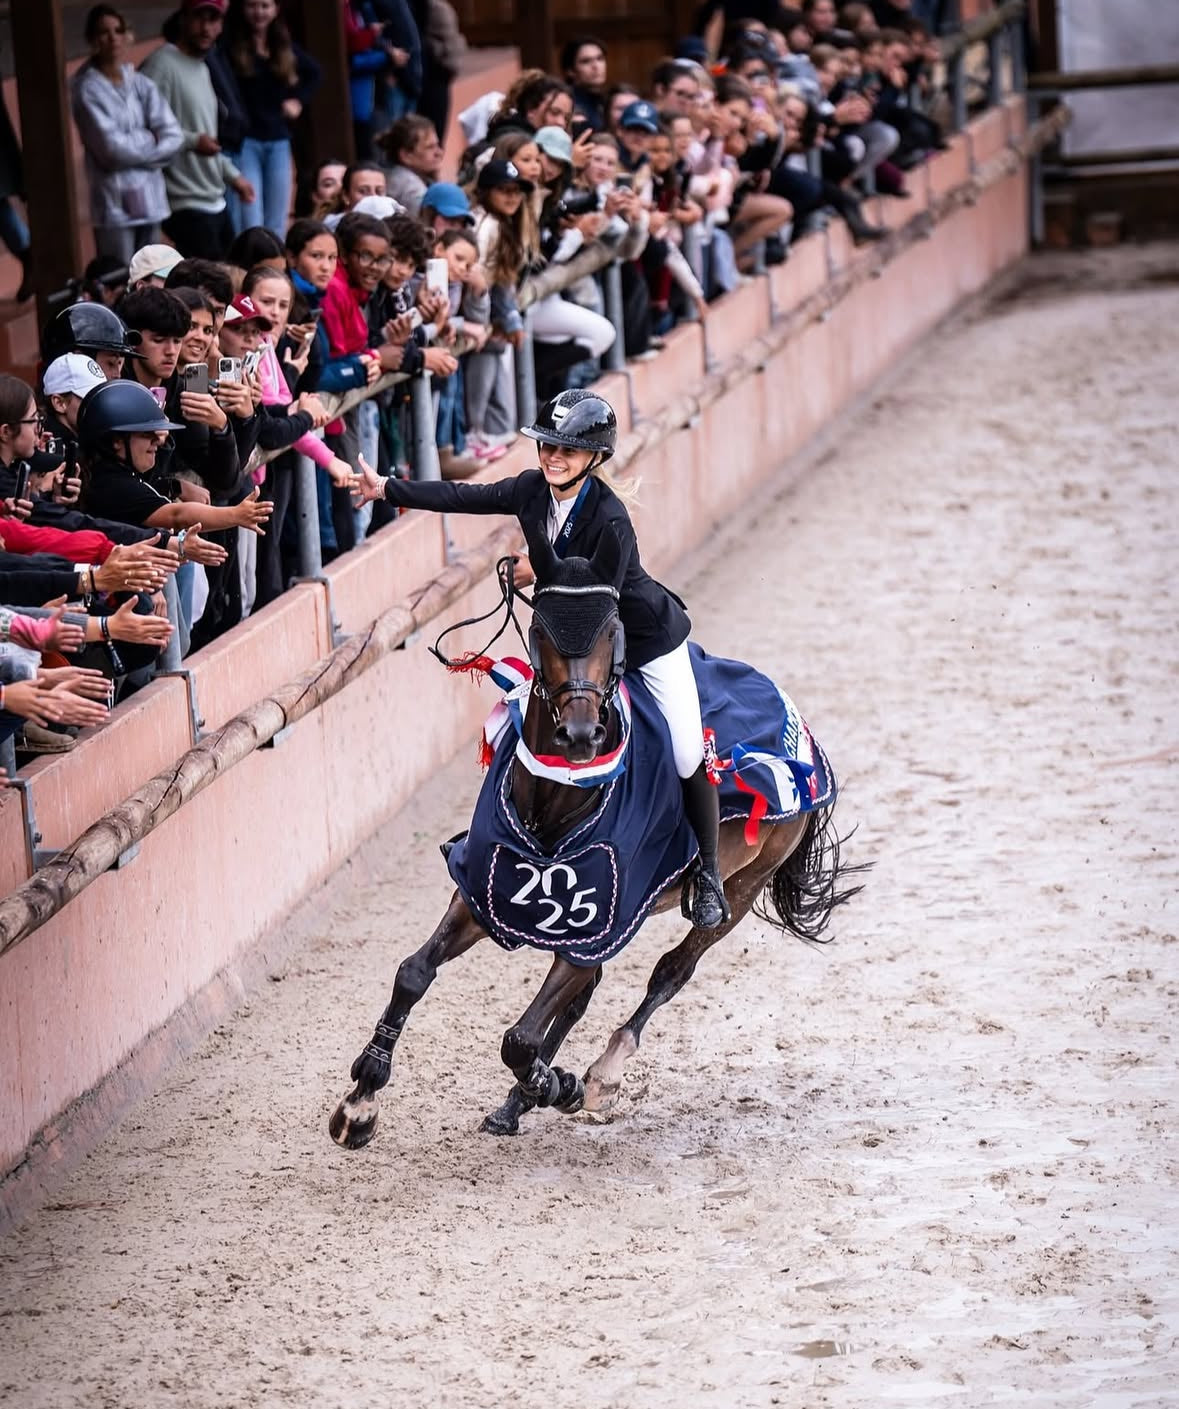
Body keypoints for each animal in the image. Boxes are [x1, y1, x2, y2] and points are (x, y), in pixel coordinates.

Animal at [329, 529, 862, 1148]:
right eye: (540, 630)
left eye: (613, 631)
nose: (579, 735)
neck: (554, 805)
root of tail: (799, 730)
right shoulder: (482, 898)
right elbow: (413, 974)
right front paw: (359, 1102)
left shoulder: (594, 929)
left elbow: (521, 1039)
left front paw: (560, 1085)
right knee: (587, 998)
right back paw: (516, 1104)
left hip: (744, 886)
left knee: (672, 971)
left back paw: (600, 1075)